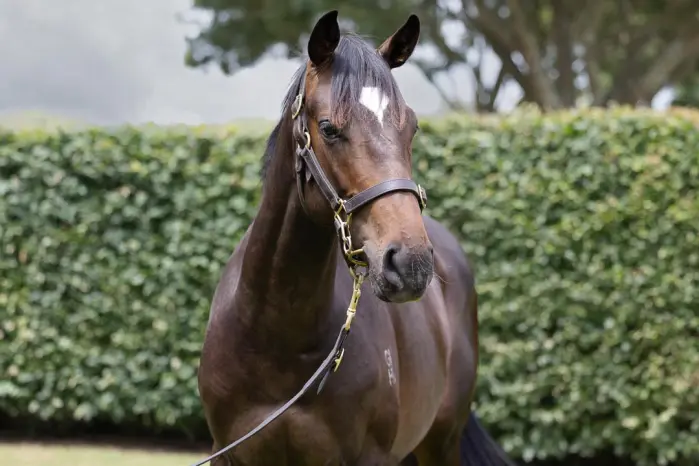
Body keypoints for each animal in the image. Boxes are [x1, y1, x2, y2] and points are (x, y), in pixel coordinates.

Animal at [195, 10, 516, 466]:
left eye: (412, 127)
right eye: (329, 128)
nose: (411, 264)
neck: (279, 342)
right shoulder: (227, 453)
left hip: (441, 442)